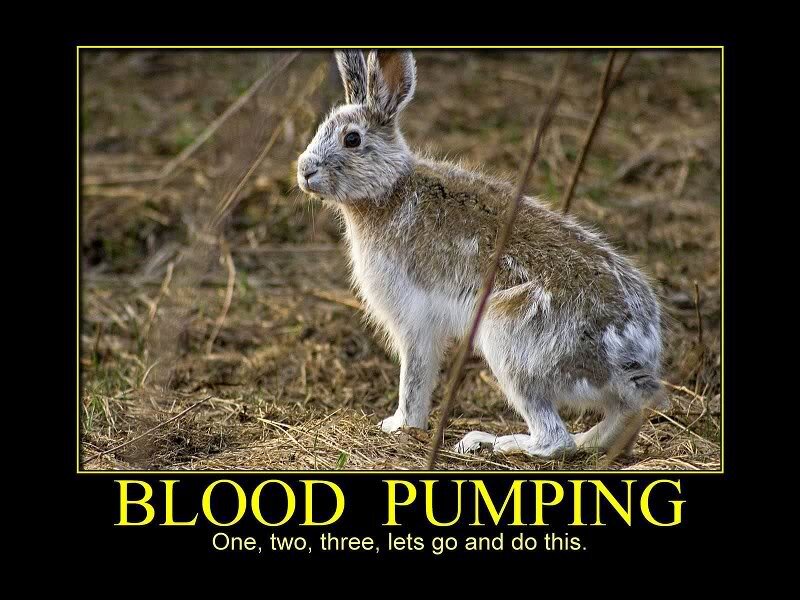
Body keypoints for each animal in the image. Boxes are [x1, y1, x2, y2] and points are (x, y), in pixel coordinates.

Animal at [296, 49, 665, 459]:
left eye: (352, 138)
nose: (304, 171)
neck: (388, 190)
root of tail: (631, 357)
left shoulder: (413, 320)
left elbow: (414, 378)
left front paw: (400, 426)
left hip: (511, 346)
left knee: (555, 439)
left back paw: (491, 442)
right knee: (614, 420)